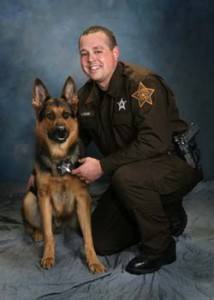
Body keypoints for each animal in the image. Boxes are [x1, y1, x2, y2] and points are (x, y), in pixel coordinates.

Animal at [22, 77, 105, 274]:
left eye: (66, 115)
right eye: (50, 116)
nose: (61, 130)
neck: (60, 158)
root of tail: (60, 225)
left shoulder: (82, 198)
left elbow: (88, 237)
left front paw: (93, 261)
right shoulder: (43, 197)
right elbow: (48, 235)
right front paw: (48, 256)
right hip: (29, 199)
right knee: (39, 226)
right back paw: (37, 232)